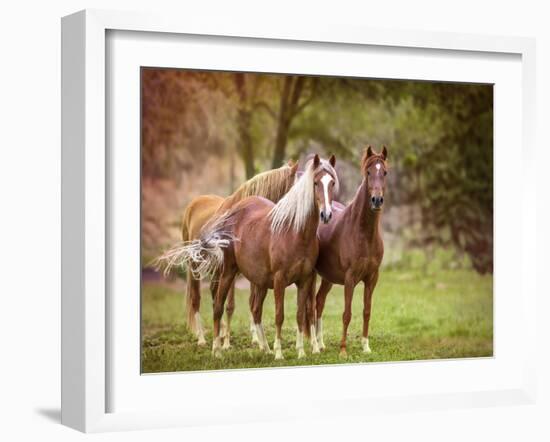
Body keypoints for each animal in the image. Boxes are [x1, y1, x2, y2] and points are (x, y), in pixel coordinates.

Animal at [314, 147, 388, 358]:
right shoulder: (350, 278)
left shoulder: (372, 278)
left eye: (385, 172)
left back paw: (321, 344)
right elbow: (346, 314)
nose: (377, 200)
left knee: (319, 301)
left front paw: (366, 346)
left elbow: (367, 311)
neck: (363, 233)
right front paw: (343, 351)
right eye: (368, 172)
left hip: (328, 278)